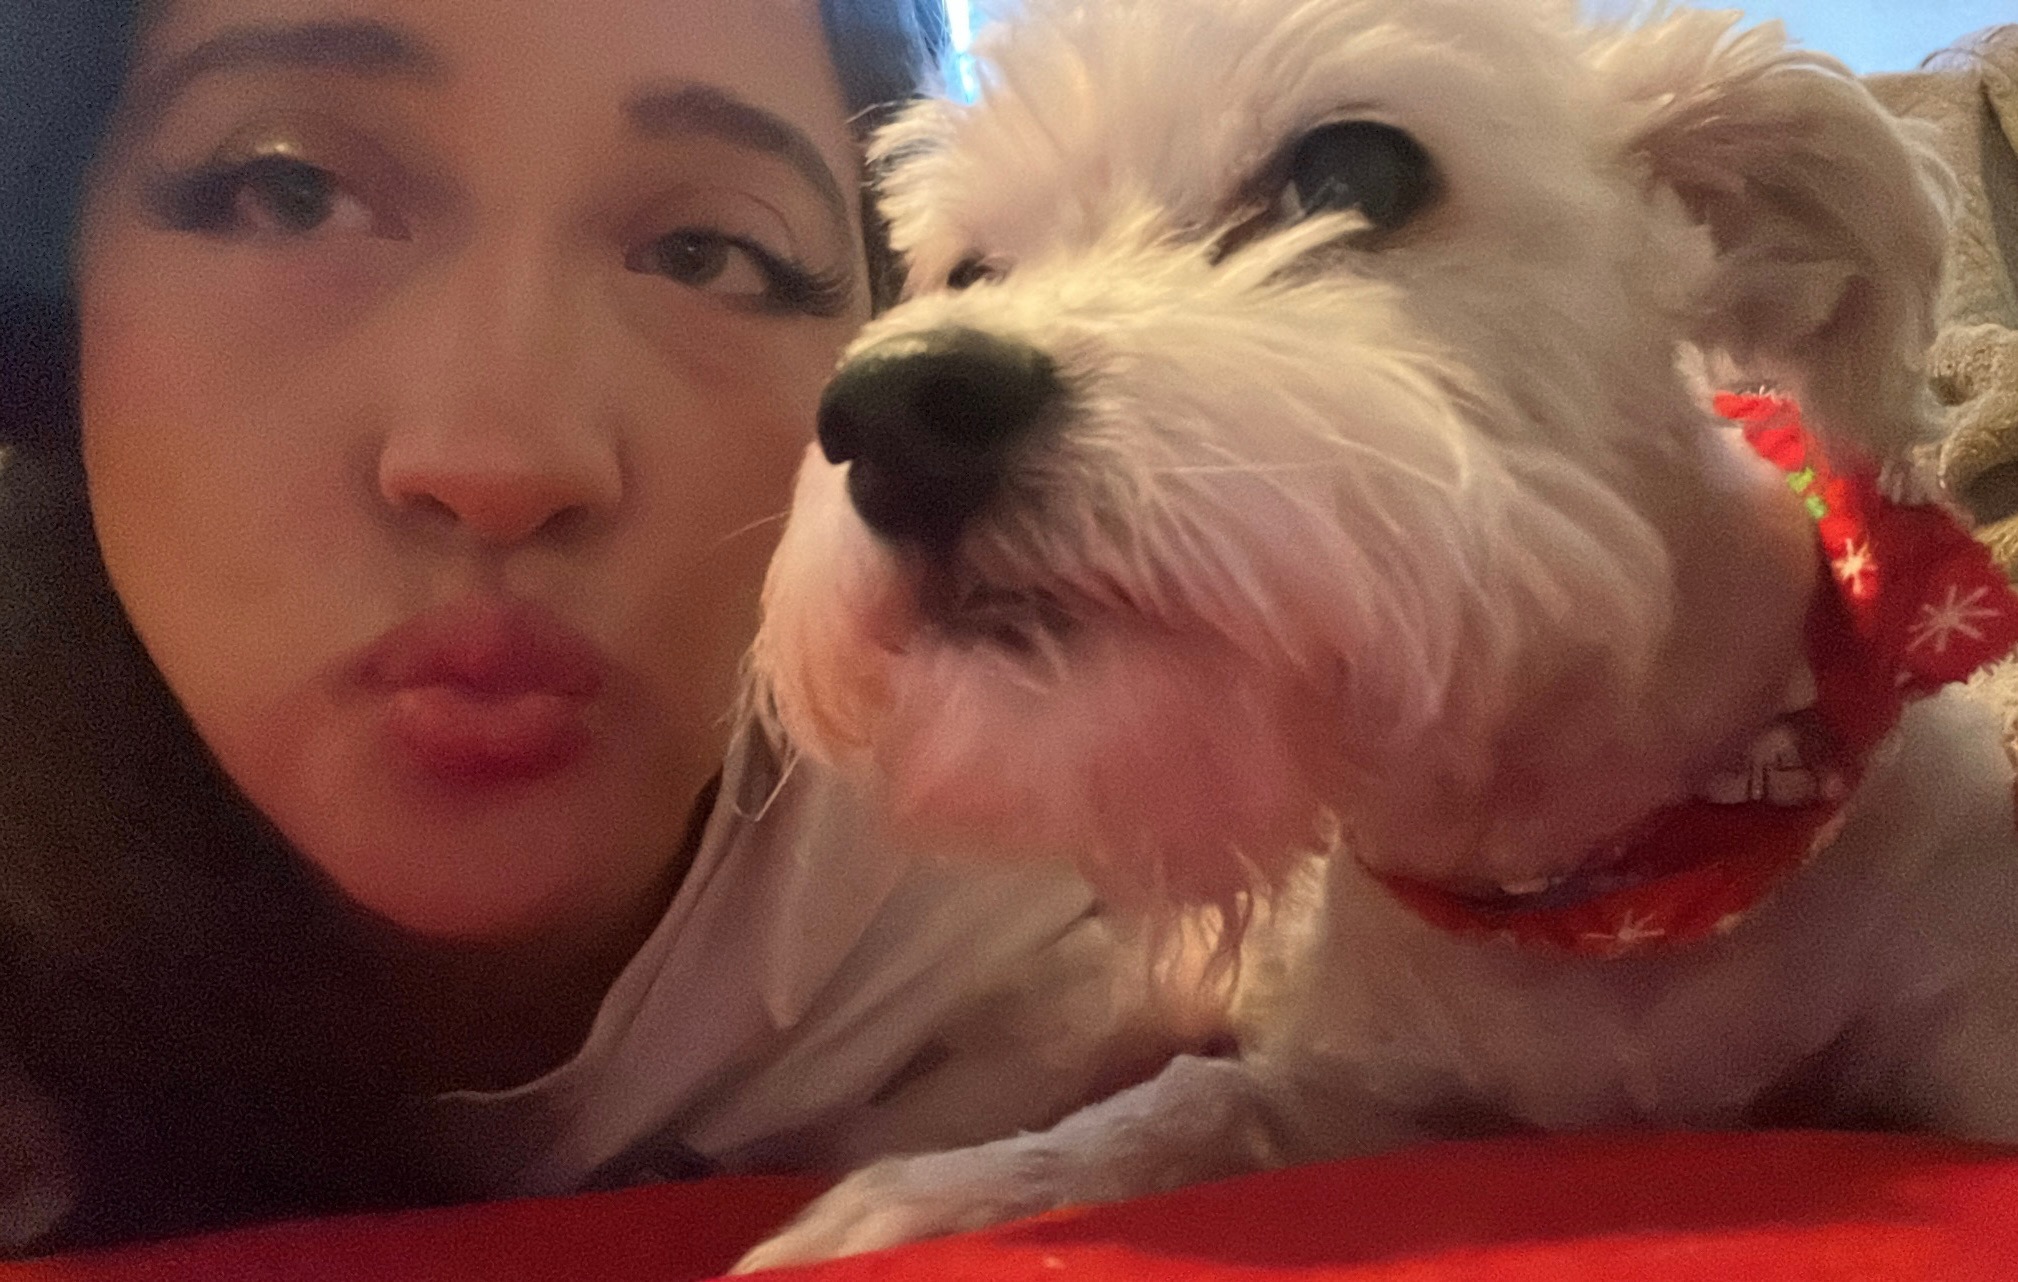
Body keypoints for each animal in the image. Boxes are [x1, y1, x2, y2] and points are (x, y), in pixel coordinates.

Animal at [737, 0, 2018, 1268]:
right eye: (970, 270)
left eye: (1349, 169)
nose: (892, 414)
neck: (1587, 881)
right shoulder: (1350, 1094)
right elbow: (1192, 1100)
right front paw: (936, 1193)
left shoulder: (1954, 1003)